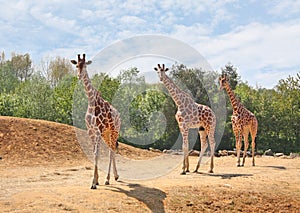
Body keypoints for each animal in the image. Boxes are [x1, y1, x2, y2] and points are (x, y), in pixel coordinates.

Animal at [71, 54, 120, 189]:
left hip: (115, 131)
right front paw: (96, 180)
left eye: (85, 66)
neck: (91, 102)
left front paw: (93, 183)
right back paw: (115, 176)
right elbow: (94, 153)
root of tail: (119, 114)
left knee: (111, 151)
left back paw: (108, 179)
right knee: (111, 150)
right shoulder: (91, 131)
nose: (79, 76)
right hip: (106, 134)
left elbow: (96, 154)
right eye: (76, 65)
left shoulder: (97, 131)